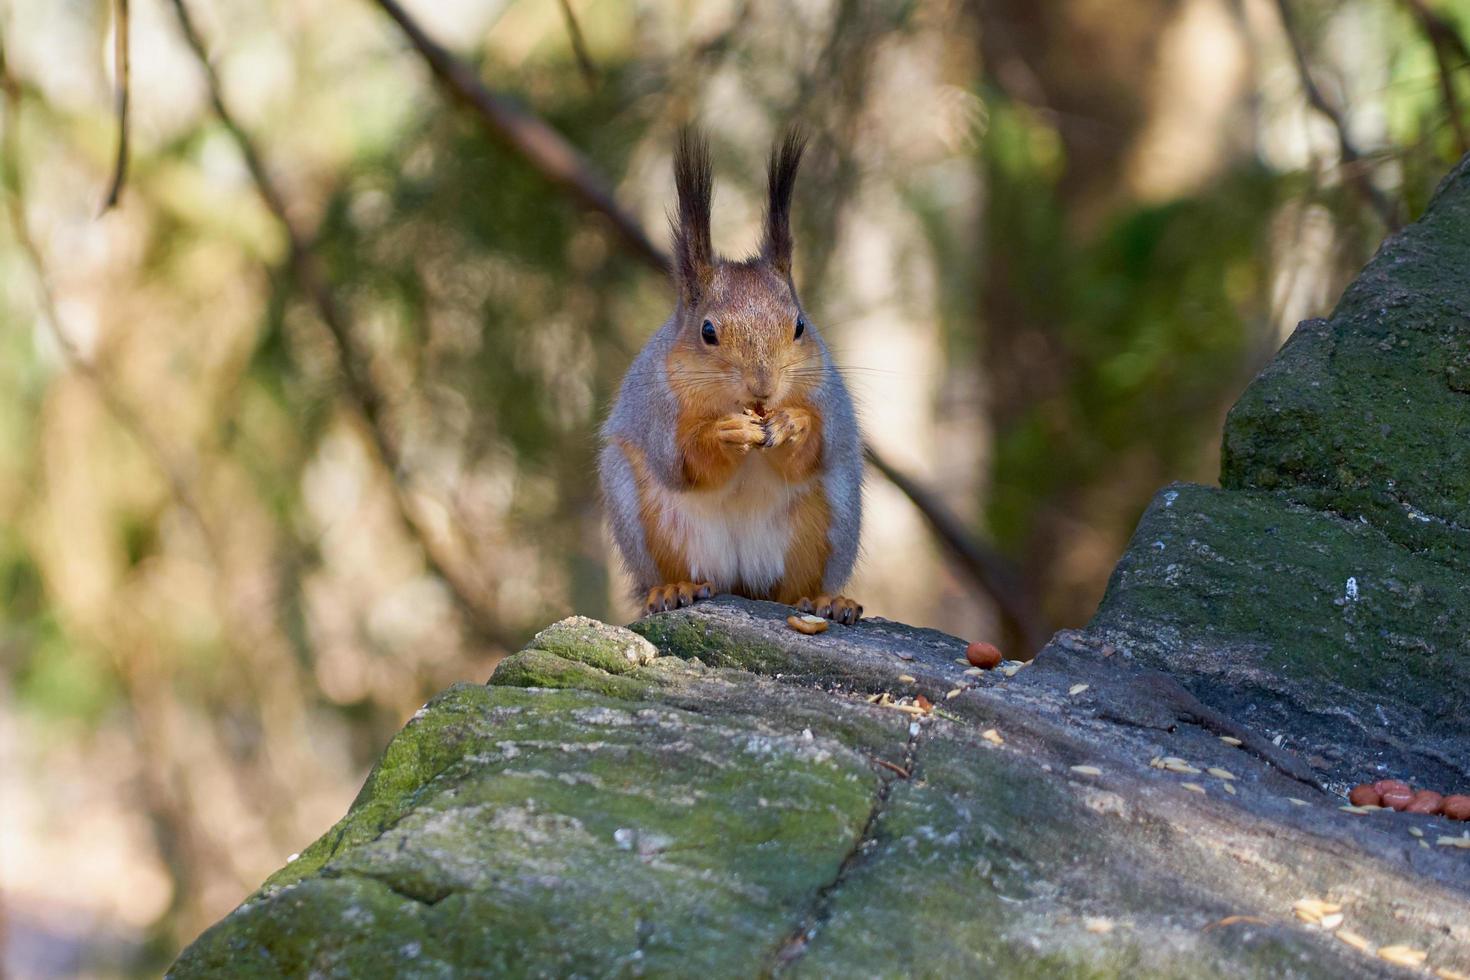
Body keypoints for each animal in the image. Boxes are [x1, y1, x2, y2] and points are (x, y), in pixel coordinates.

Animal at [602, 128, 864, 620]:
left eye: (800, 326)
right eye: (708, 332)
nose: (763, 389)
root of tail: (741, 586)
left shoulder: (826, 397)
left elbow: (815, 445)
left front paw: (791, 423)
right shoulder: (659, 410)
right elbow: (682, 461)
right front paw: (725, 433)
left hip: (830, 519)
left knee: (796, 588)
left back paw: (825, 600)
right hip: (642, 518)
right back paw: (674, 589)